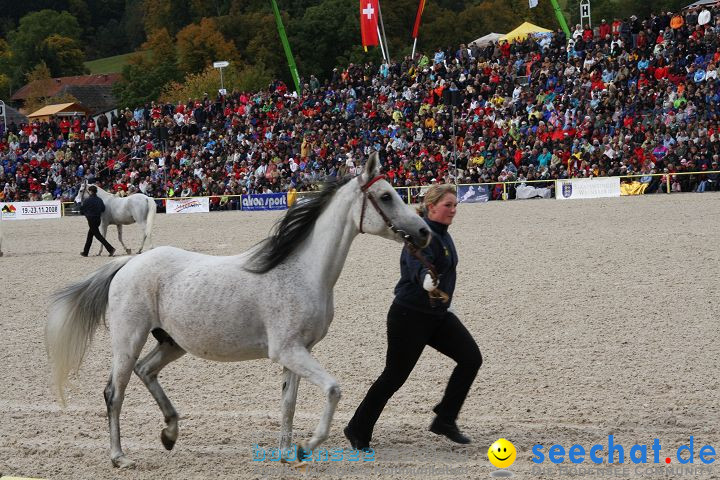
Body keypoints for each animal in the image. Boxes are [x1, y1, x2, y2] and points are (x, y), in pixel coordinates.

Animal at [46, 154, 434, 468]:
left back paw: (170, 433)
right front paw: (306, 447)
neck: (303, 271)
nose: (424, 232)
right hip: (128, 341)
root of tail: (128, 264)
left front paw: (285, 453)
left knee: (146, 371)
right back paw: (120, 457)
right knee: (115, 392)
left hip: (171, 342)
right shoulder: (288, 351)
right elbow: (333, 390)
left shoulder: (298, 352)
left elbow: (289, 403)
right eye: (386, 196)